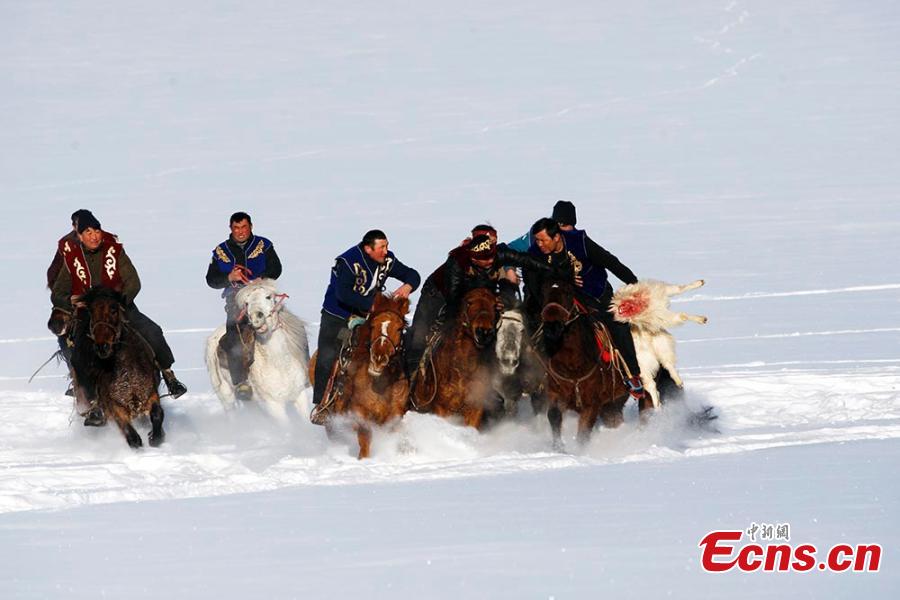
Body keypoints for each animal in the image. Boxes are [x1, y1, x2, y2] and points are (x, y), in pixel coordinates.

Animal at [70, 288, 165, 448]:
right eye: (91, 311)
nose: (102, 347)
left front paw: (155, 437)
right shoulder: (115, 407)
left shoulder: (150, 394)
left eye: (114, 309)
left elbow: (157, 414)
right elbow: (131, 436)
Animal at [206, 278, 312, 420]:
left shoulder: (300, 396)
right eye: (246, 303)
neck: (280, 364)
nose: (256, 317)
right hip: (226, 396)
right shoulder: (273, 405)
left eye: (268, 297)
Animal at [536, 282, 632, 450]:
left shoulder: (592, 403)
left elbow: (584, 431)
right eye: (543, 294)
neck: (573, 367)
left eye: (568, 292)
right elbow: (554, 415)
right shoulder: (556, 393)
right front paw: (558, 448)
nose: (552, 328)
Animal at [612, 278, 712, 410]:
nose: (623, 311)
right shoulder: (660, 315)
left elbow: (680, 289)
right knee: (652, 386)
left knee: (667, 365)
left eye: (627, 306)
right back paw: (658, 407)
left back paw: (677, 382)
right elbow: (682, 315)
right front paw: (701, 319)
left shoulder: (659, 295)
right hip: (643, 367)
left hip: (661, 344)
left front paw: (699, 283)